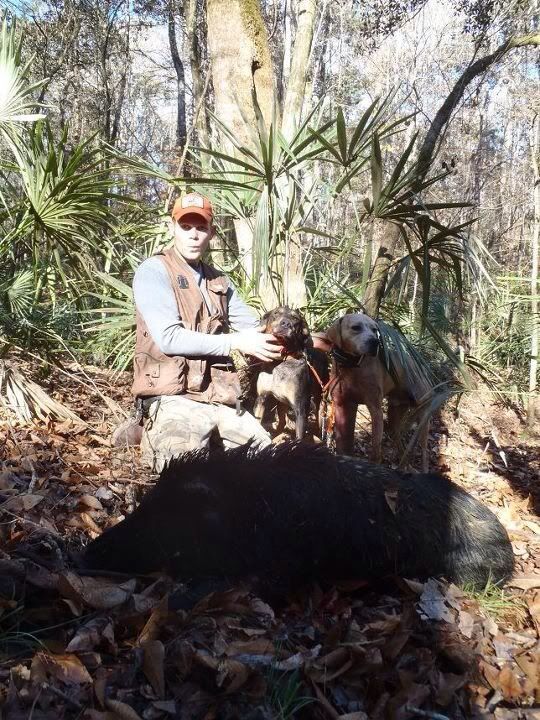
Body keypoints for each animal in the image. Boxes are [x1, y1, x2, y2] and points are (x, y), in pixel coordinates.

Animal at [317, 313, 431, 468]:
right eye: (356, 327)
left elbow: (376, 449)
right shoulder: (343, 405)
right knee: (399, 443)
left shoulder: (375, 409)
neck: (351, 367)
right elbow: (343, 443)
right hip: (394, 417)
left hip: (423, 417)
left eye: (375, 330)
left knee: (424, 451)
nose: (375, 342)